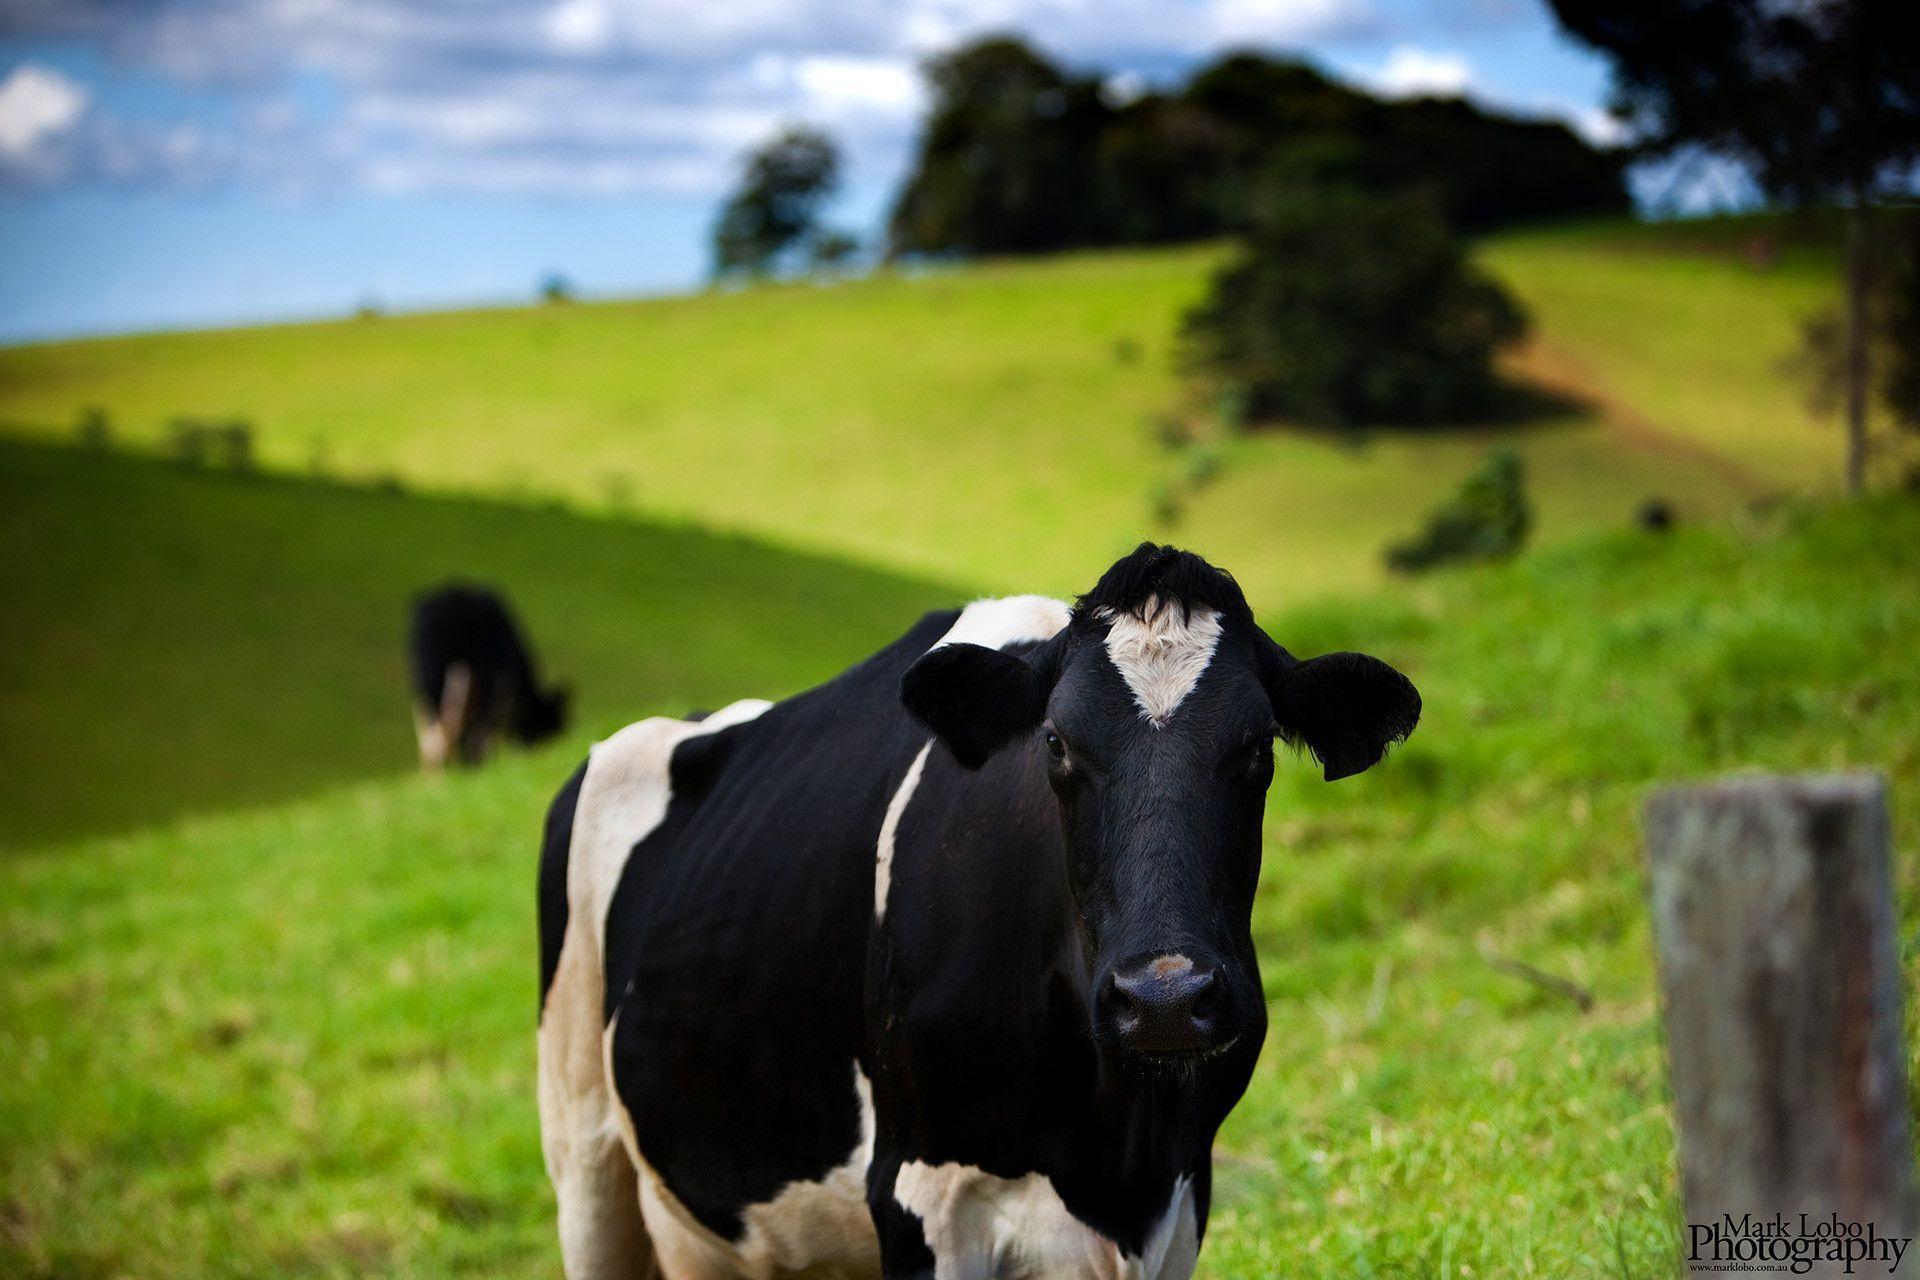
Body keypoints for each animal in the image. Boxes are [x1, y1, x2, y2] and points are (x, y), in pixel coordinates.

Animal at [533, 545, 1420, 1280]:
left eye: (1260, 744)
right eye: (1056, 742)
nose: (1164, 999)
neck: (1112, 1147)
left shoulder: (1180, 1193)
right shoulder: (918, 1196)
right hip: (584, 1156)